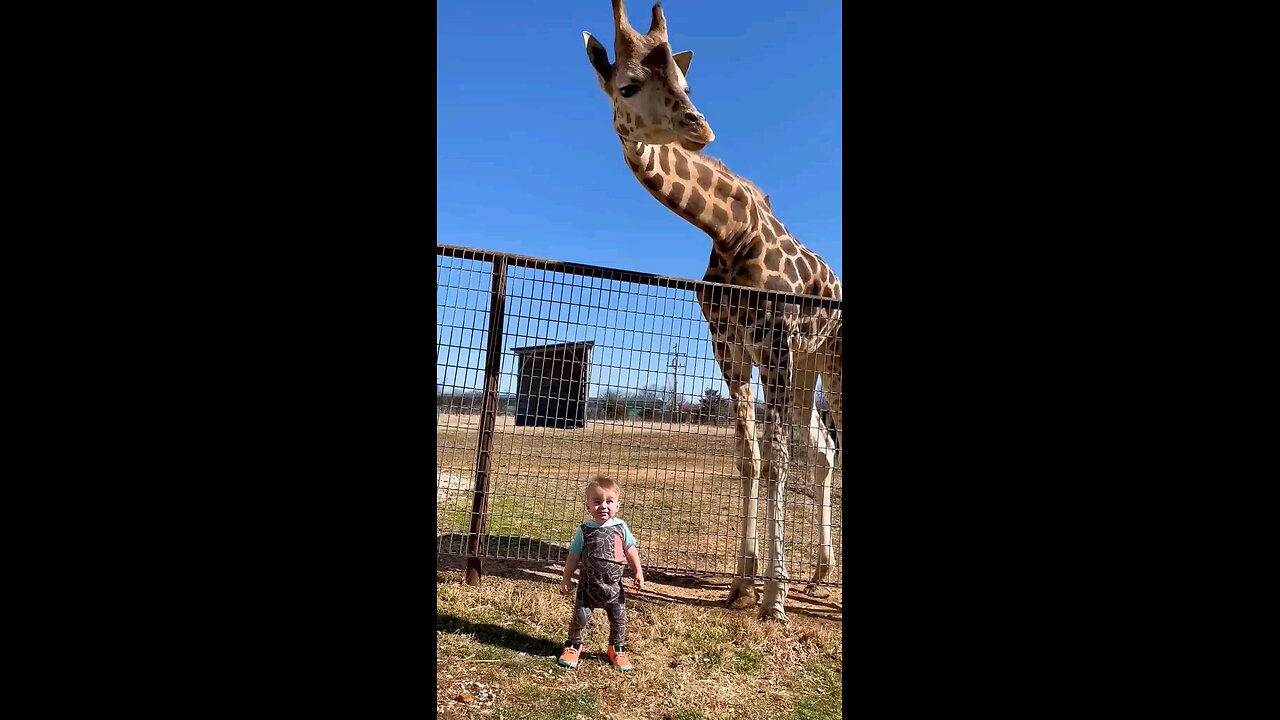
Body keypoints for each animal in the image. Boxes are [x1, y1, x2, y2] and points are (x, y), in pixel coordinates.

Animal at [581, 0, 843, 622]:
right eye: (628, 85)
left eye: (684, 82)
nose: (700, 125)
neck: (729, 232)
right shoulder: (729, 345)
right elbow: (750, 458)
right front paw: (743, 583)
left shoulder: (772, 341)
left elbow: (775, 460)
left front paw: (773, 597)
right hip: (810, 362)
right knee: (823, 451)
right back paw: (821, 574)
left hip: (832, 358)